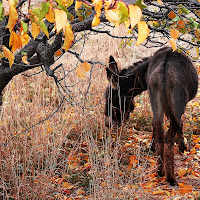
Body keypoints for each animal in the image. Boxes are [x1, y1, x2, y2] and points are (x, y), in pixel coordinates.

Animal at [104, 46, 198, 185]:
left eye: (110, 99)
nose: (108, 123)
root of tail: (163, 70)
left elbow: (154, 125)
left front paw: (152, 147)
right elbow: (180, 124)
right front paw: (183, 147)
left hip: (157, 101)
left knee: (160, 134)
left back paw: (160, 171)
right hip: (177, 105)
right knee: (168, 139)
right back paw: (171, 178)